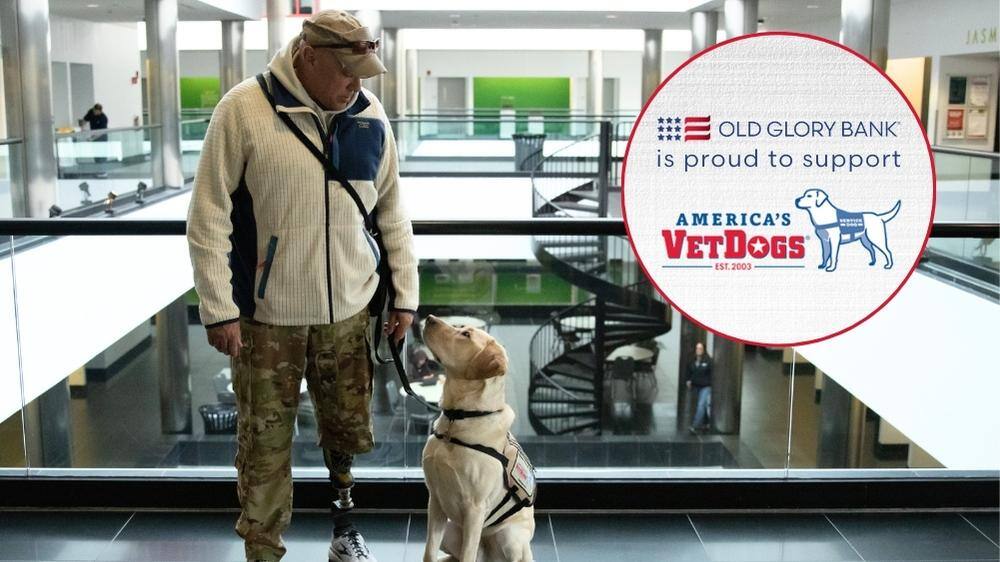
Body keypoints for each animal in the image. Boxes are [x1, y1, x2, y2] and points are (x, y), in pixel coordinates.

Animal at [420, 316, 536, 560]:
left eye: (466, 334)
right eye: (461, 327)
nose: (429, 318)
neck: (458, 418)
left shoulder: (474, 507)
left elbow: (467, 555)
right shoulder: (435, 499)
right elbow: (429, 552)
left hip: (511, 537)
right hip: (450, 530)